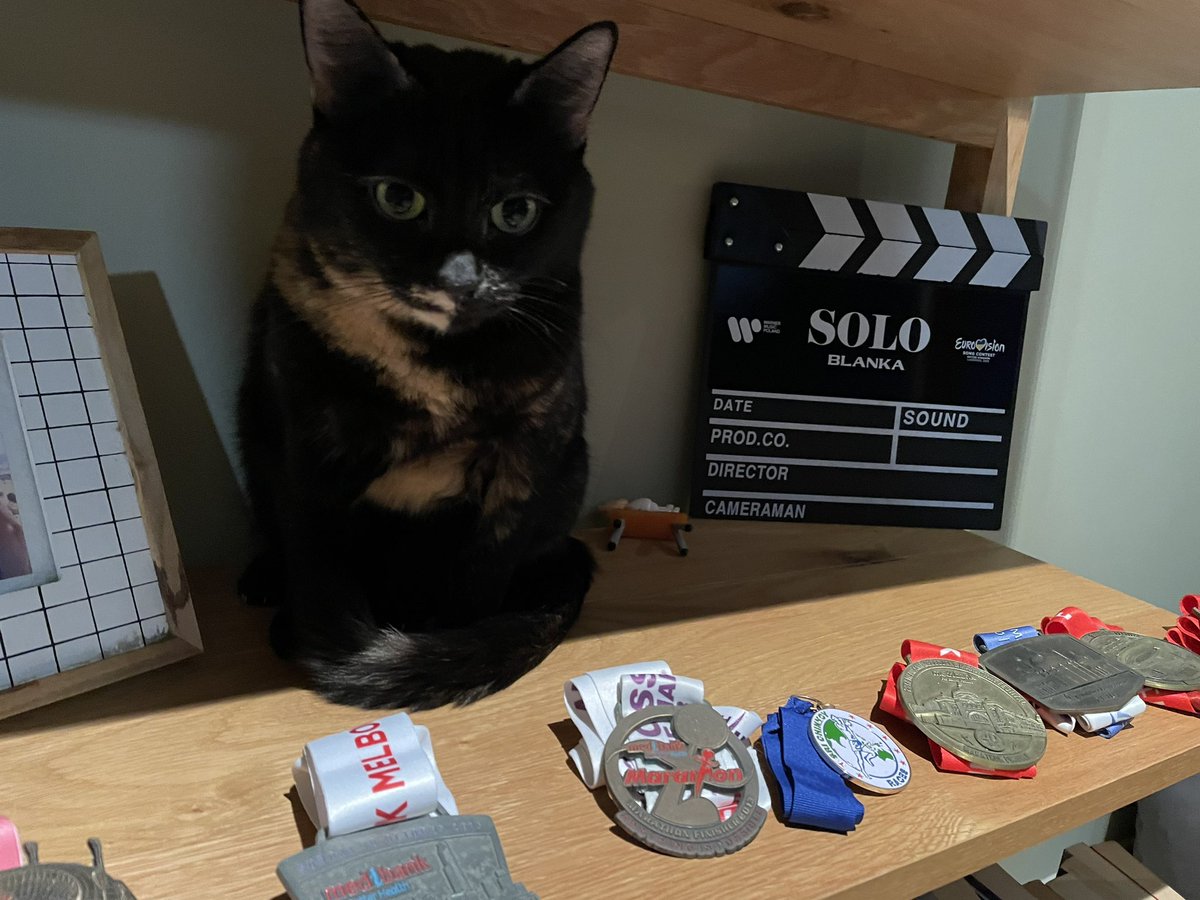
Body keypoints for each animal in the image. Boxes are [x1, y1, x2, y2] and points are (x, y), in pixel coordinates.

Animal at [236, 0, 619, 710]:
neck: (436, 365)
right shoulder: (308, 445)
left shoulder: (527, 452)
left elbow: (484, 565)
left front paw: (446, 646)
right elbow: (319, 560)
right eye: (398, 198)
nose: (460, 281)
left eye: (516, 211)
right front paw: (334, 646)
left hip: (569, 474)